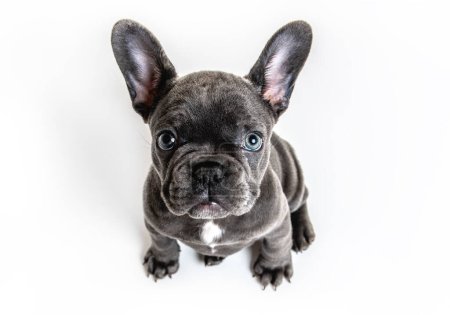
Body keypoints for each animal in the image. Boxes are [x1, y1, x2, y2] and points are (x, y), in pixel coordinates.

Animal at [112, 19, 314, 290]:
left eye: (253, 140)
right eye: (166, 139)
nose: (208, 171)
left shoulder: (278, 220)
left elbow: (278, 242)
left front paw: (275, 267)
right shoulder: (153, 221)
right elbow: (161, 240)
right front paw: (163, 259)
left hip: (293, 180)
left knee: (302, 199)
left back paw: (301, 231)